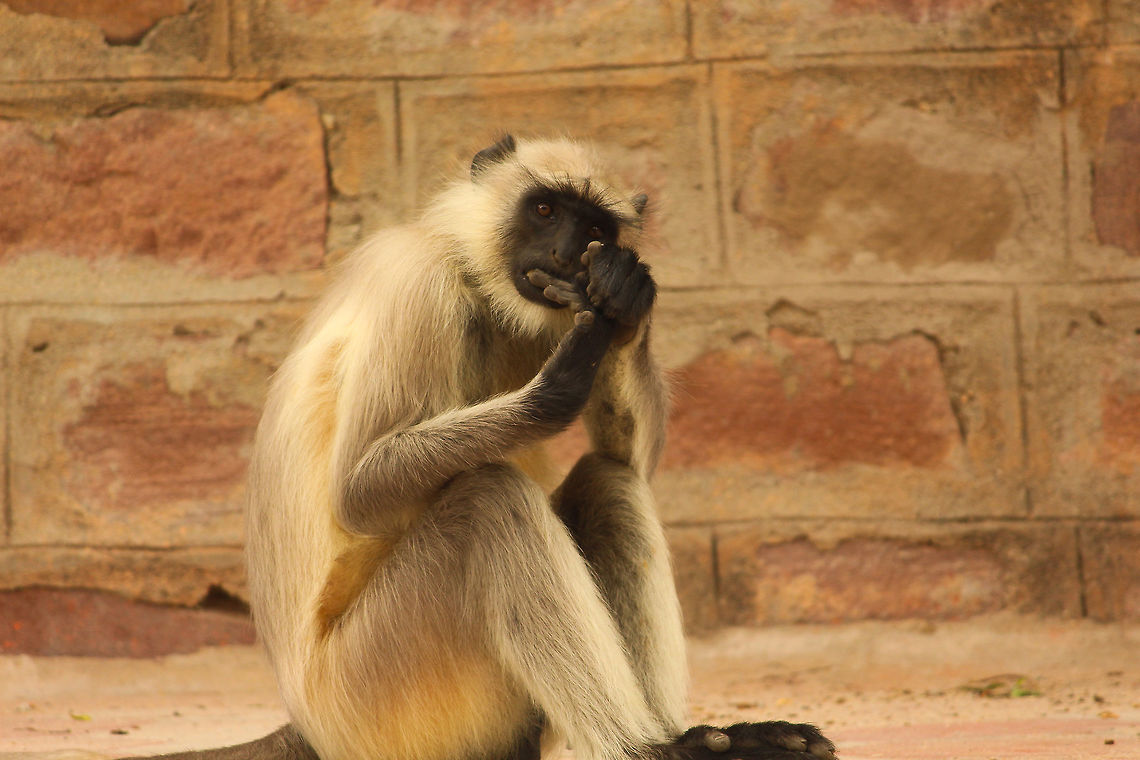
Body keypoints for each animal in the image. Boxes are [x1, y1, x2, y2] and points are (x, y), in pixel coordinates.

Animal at [123, 136, 836, 760]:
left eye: (592, 224)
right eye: (545, 210)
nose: (566, 251)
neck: (475, 280)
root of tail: (309, 727)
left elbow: (632, 458)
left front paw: (627, 302)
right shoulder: (420, 284)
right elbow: (357, 493)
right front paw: (557, 385)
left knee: (609, 478)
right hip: (377, 696)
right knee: (489, 502)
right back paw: (650, 748)